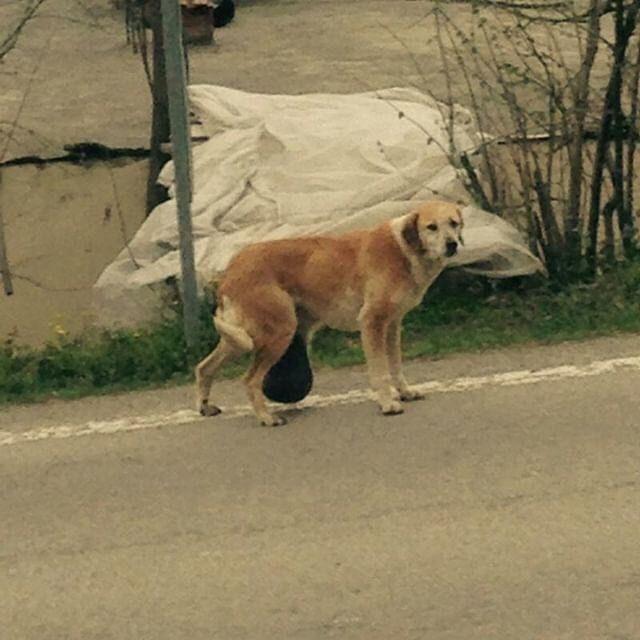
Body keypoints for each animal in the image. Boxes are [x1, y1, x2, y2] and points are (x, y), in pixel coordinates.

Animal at [198, 201, 462, 424]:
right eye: (431, 227)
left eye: (454, 223)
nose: (452, 244)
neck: (404, 249)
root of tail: (231, 270)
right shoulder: (372, 323)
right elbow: (380, 371)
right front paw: (388, 404)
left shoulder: (393, 326)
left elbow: (396, 365)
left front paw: (405, 393)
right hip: (278, 332)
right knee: (250, 380)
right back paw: (267, 418)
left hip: (239, 338)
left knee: (204, 367)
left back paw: (205, 407)